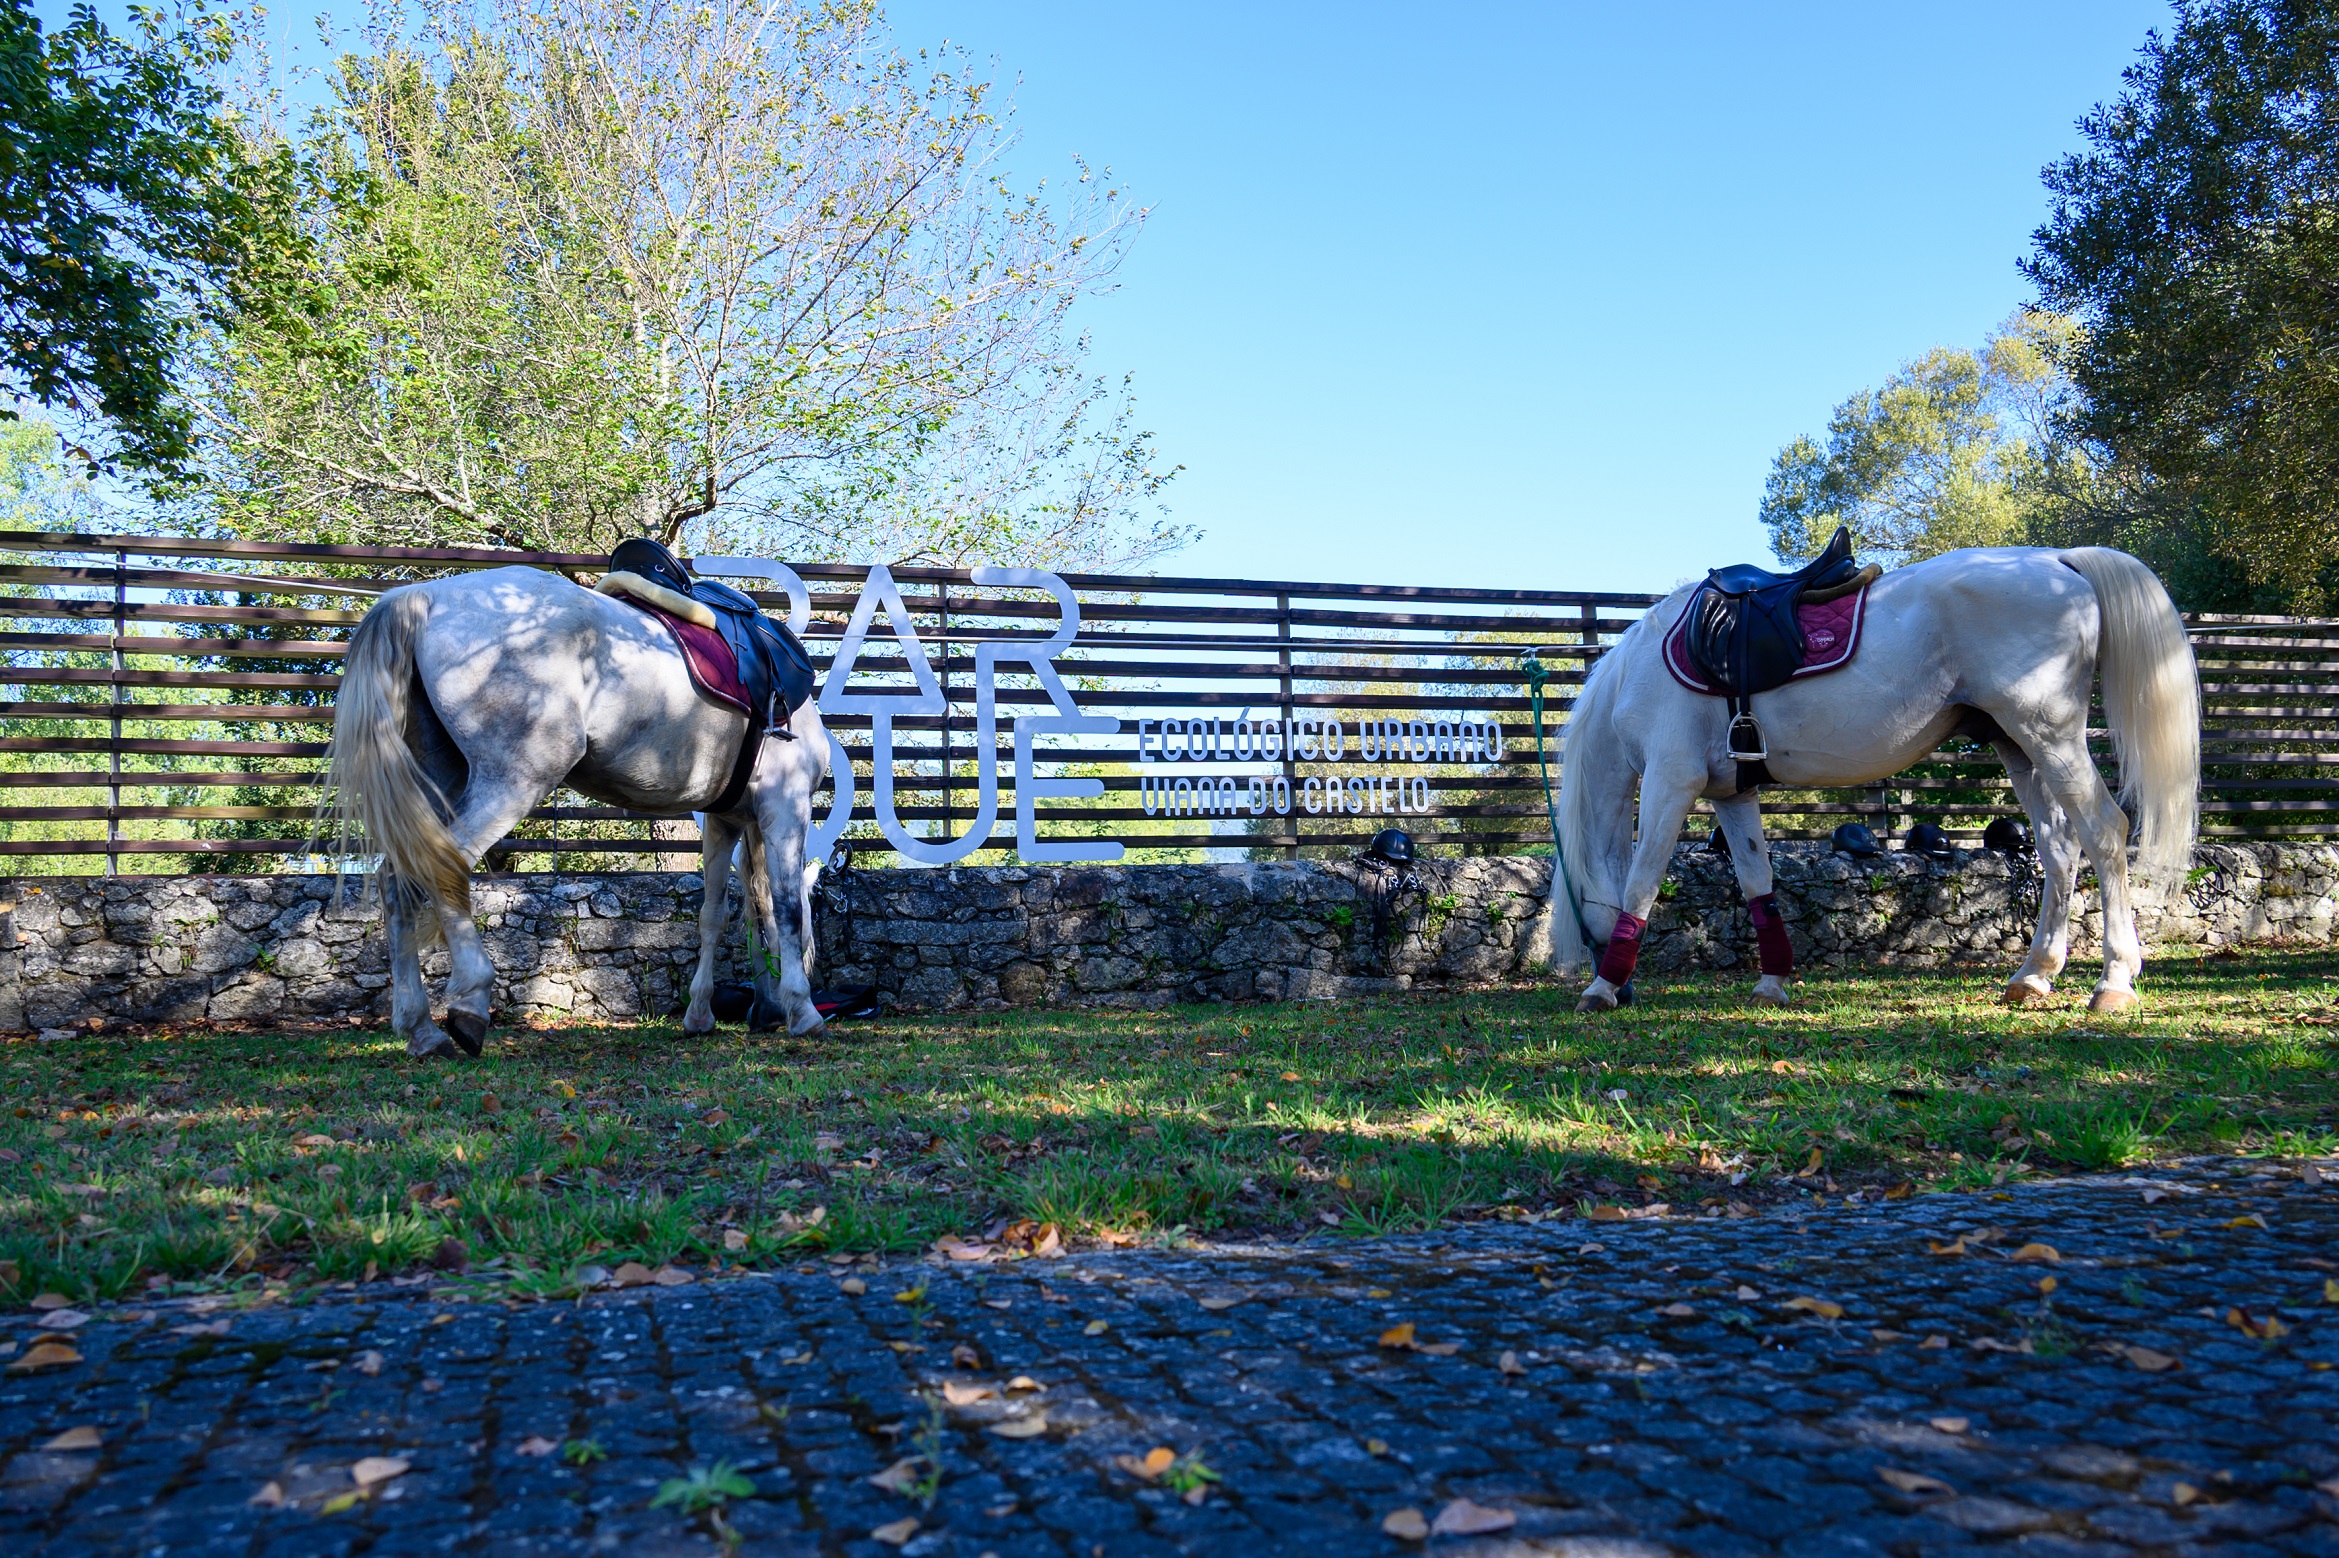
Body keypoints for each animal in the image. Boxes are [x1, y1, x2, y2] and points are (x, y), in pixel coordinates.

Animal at [320, 563, 832, 1062]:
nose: (770, 1011)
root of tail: (427, 597)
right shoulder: (785, 804)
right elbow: (785, 909)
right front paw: (802, 1010)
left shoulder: (725, 822)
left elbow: (718, 914)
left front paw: (703, 1014)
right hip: (513, 781)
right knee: (445, 867)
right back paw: (469, 1003)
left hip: (441, 780)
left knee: (398, 881)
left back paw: (421, 1030)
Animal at [1553, 542, 2189, 1005]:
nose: (1621, 987)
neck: (1636, 675)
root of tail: (2059, 560)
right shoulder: (1731, 795)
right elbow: (1758, 883)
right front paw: (1772, 981)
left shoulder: (1670, 781)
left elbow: (1640, 882)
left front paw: (1601, 988)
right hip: (2018, 746)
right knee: (2059, 849)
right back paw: (2034, 974)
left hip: (2049, 735)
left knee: (2104, 831)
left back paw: (2114, 981)